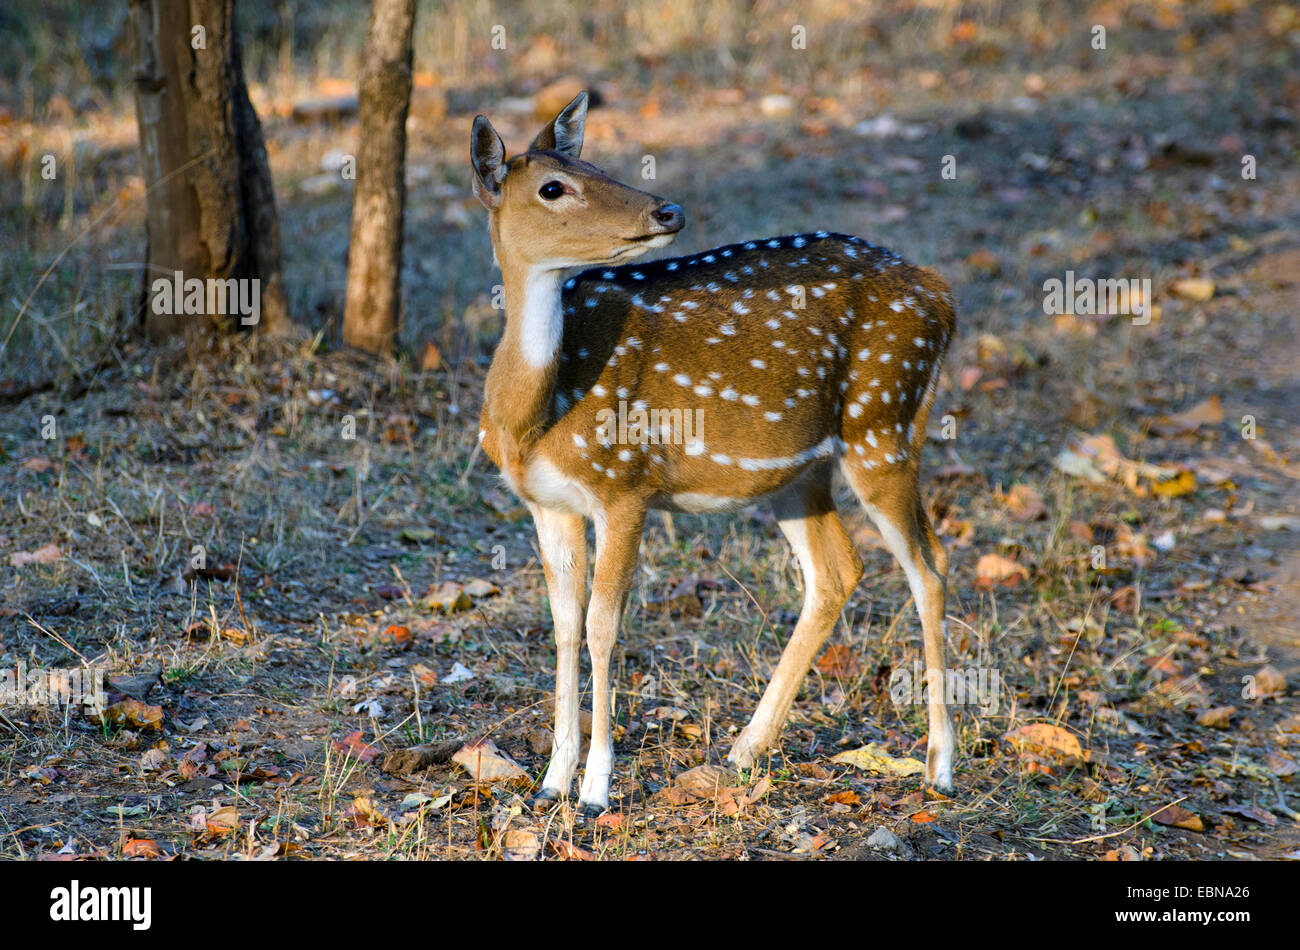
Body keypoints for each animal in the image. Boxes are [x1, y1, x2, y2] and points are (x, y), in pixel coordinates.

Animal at [471, 92, 957, 816]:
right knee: (837, 571)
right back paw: (745, 749)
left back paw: (940, 764)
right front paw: (554, 780)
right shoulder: (548, 504)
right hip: (801, 470)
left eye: (596, 164)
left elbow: (603, 626)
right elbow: (562, 624)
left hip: (884, 423)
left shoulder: (627, 484)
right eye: (554, 186)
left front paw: (596, 788)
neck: (535, 414)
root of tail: (940, 294)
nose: (665, 210)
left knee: (929, 566)